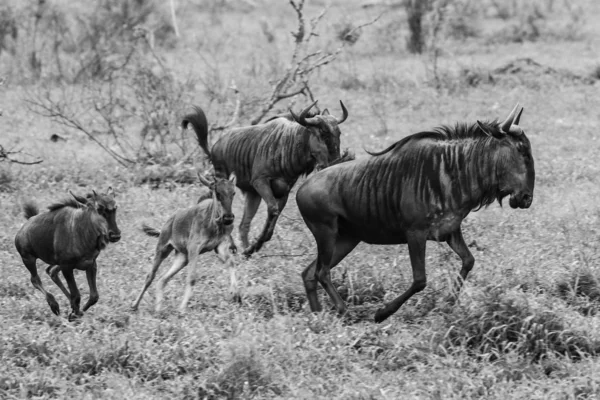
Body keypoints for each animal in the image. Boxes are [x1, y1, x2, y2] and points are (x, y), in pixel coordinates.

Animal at [14, 188, 120, 322]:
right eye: (99, 208)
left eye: (115, 207)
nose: (115, 235)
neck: (82, 232)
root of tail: (22, 229)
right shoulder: (67, 267)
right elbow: (77, 295)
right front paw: (74, 314)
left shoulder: (91, 264)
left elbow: (94, 296)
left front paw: (76, 313)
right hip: (28, 258)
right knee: (35, 279)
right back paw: (54, 305)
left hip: (55, 263)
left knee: (51, 271)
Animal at [132, 173, 239, 312]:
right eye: (217, 192)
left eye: (233, 192)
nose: (228, 218)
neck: (213, 222)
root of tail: (168, 222)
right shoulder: (194, 248)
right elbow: (192, 277)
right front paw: (182, 308)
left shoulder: (220, 246)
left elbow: (231, 262)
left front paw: (235, 294)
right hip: (162, 249)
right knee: (150, 276)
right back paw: (134, 305)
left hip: (182, 258)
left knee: (162, 279)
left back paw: (158, 309)